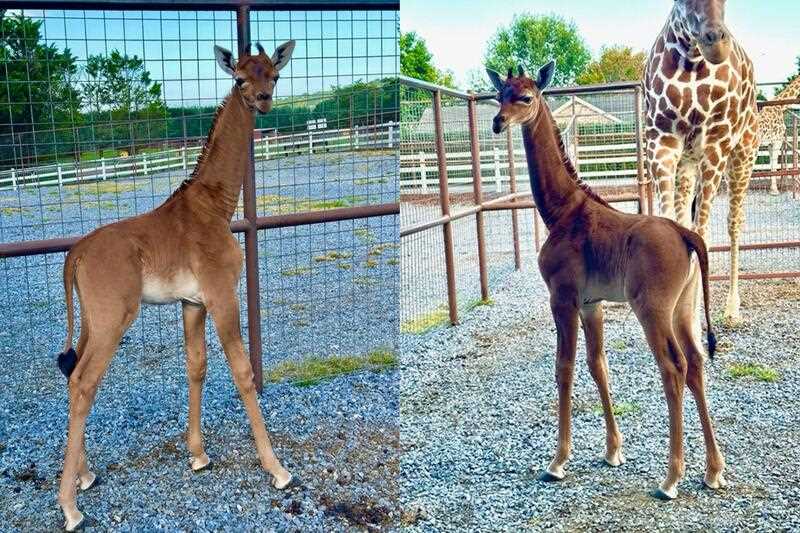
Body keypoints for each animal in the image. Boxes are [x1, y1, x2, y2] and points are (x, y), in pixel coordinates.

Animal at [54, 41, 296, 531]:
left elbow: (196, 366)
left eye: (274, 75)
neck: (216, 207)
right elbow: (243, 371)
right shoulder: (222, 294)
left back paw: (85, 475)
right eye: (240, 78)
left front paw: (198, 455)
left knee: (72, 375)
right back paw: (70, 506)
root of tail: (76, 254)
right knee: (85, 382)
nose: (263, 100)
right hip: (113, 318)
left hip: (90, 319)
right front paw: (277, 469)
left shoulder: (192, 302)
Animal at [644, 0, 759, 325]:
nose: (715, 42)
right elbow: (673, 226)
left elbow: (703, 233)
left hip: (743, 154)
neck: (692, 62)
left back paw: (732, 309)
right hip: (688, 164)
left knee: (734, 223)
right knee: (686, 219)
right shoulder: (661, 143)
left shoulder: (715, 145)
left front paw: (693, 322)